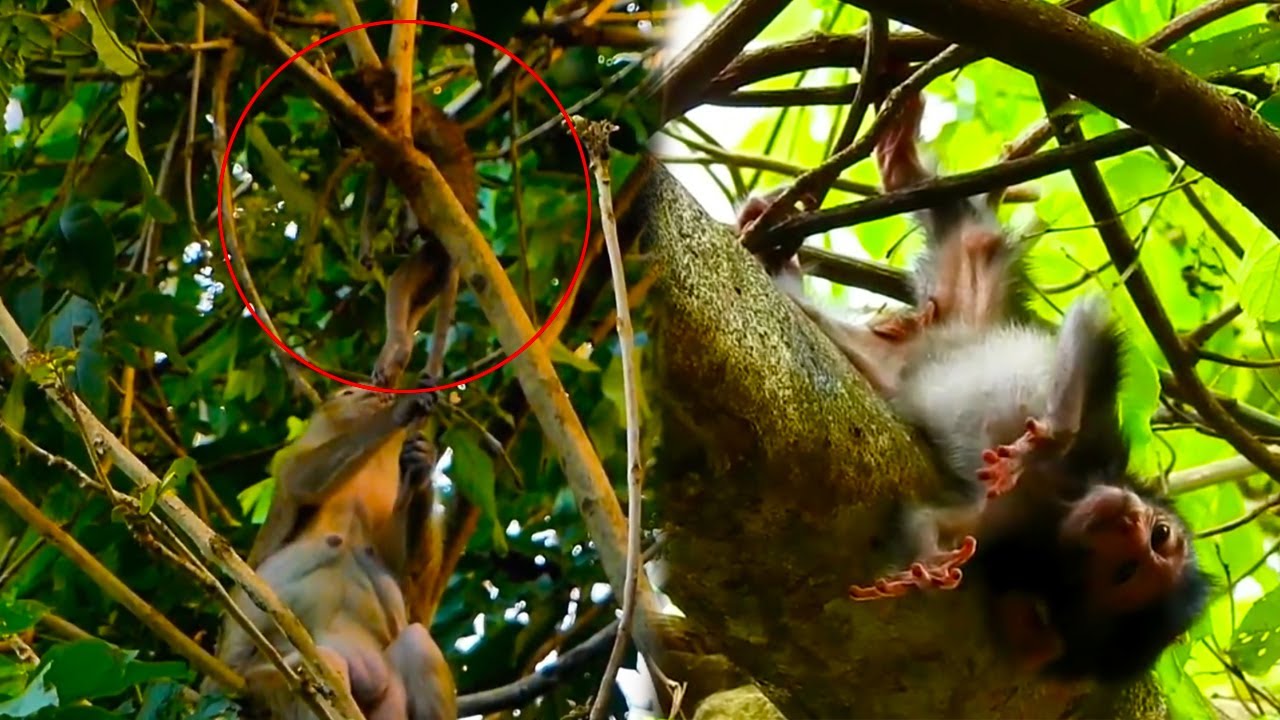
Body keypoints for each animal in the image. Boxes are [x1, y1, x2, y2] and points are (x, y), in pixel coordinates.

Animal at [207, 374, 457, 720]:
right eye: (349, 392)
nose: (371, 393)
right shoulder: (292, 460)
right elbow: (303, 480)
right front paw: (400, 410)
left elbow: (413, 585)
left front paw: (421, 463)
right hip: (254, 688)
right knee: (313, 669)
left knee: (416, 641)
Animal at [741, 82, 1211, 684]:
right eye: (1158, 537)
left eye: (1127, 572)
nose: (1129, 515)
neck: (1065, 497)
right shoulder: (1097, 449)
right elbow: (1092, 324)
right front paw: (1043, 440)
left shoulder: (1003, 532)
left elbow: (934, 520)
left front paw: (924, 563)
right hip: (966, 304)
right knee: (974, 242)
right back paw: (893, 161)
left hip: (880, 365)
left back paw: (789, 277)